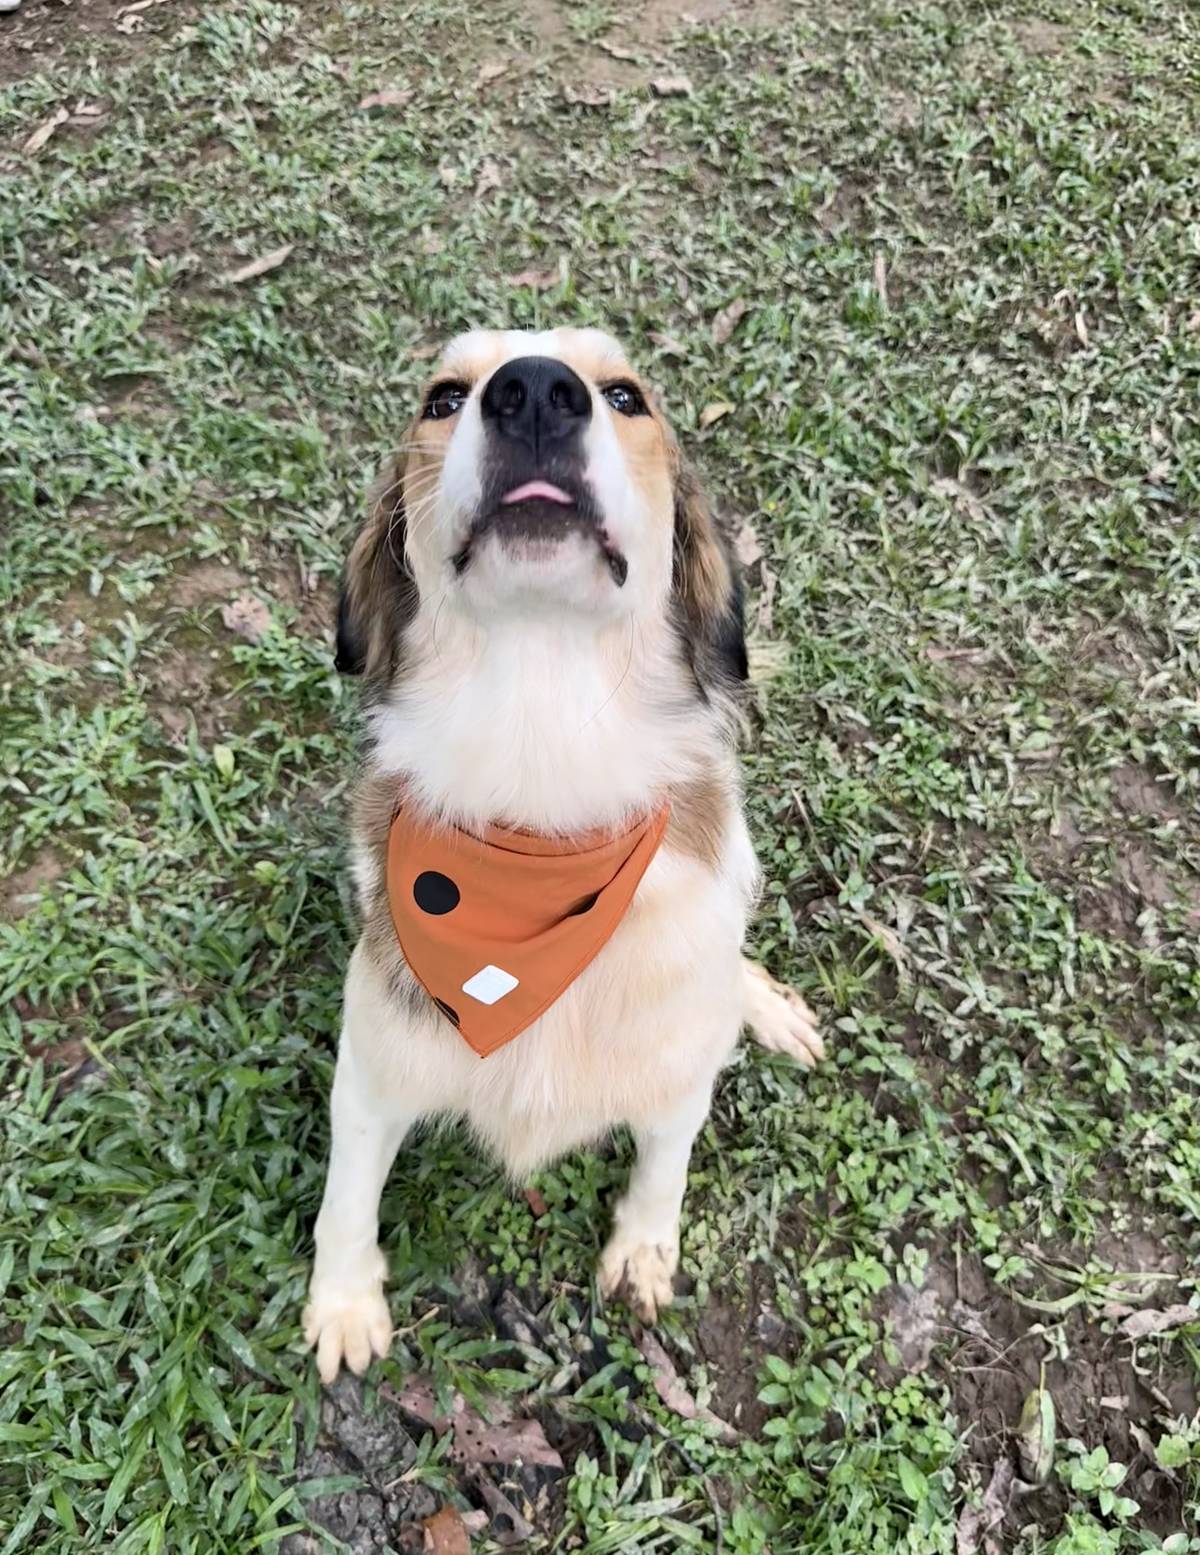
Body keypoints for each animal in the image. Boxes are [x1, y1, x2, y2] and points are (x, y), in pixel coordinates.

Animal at [304, 327, 823, 1383]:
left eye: (625, 395)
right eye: (442, 397)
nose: (536, 391)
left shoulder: (678, 1070)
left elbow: (666, 1161)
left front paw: (643, 1251)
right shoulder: (372, 1061)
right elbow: (348, 1194)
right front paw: (341, 1302)